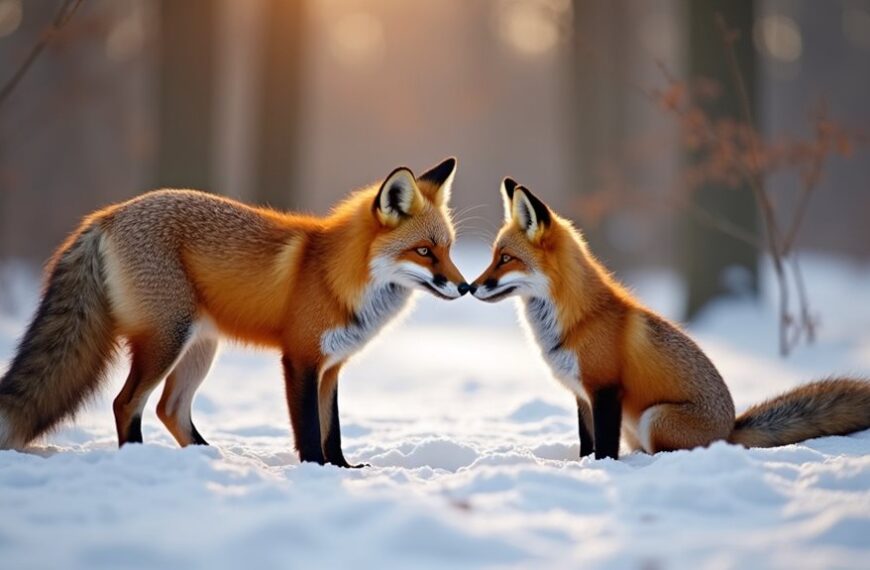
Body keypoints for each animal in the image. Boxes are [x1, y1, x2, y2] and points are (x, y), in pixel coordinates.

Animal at [0, 158, 470, 466]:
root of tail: (109, 213)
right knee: (126, 402)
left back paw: (209, 460)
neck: (337, 277)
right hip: (167, 339)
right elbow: (309, 429)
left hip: (200, 348)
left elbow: (332, 429)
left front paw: (342, 470)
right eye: (424, 251)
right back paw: (141, 460)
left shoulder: (332, 367)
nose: (465, 286)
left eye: (448, 249)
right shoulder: (300, 359)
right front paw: (315, 472)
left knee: (169, 409)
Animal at [471, 178, 870, 460]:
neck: (577, 320)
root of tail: (729, 433)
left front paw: (602, 470)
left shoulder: (605, 390)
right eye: (494, 257)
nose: (471, 287)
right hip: (636, 426)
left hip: (654, 417)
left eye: (505, 259)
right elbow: (588, 444)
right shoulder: (581, 395)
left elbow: (604, 449)